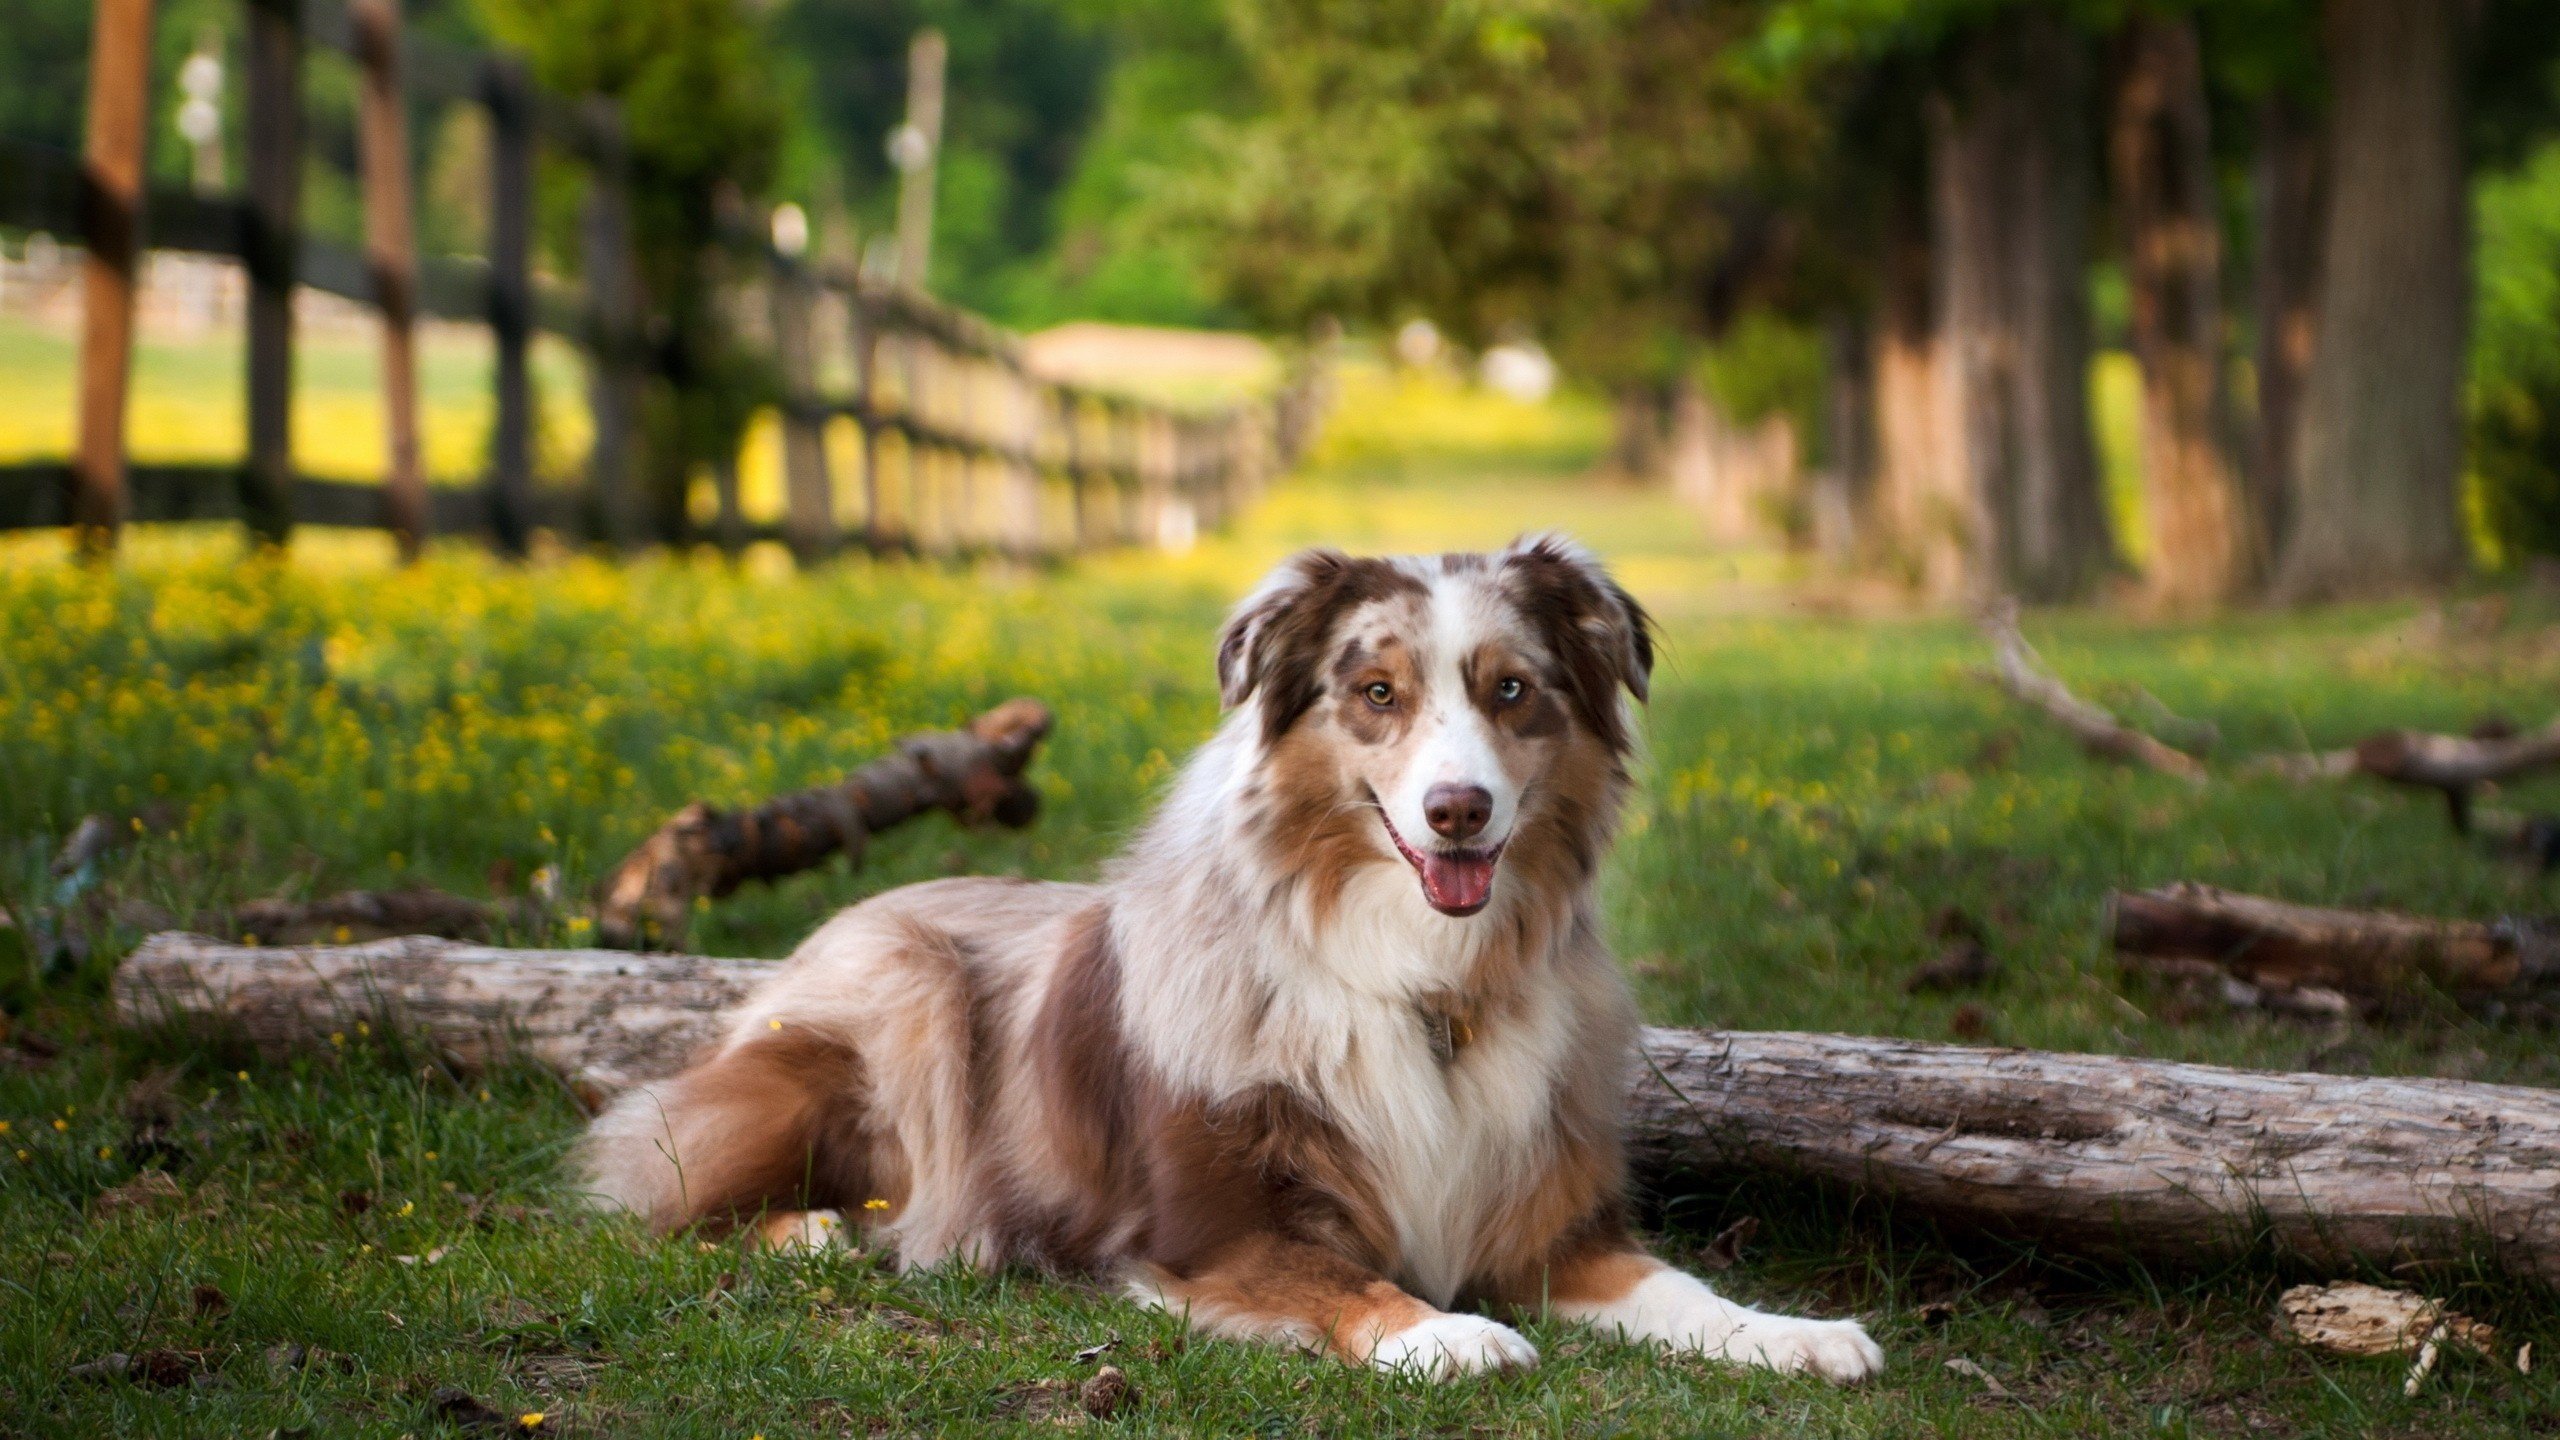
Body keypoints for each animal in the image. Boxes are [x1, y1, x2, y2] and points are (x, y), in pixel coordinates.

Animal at [588, 535, 1894, 1383]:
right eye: (1378, 693)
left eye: (1512, 690)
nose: (1459, 811)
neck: (1421, 982)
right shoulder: (1206, 1236)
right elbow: (1345, 1282)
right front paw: (1446, 1333)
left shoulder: (1545, 1230)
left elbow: (1679, 1288)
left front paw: (1793, 1334)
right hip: (898, 997)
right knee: (642, 1188)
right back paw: (814, 1230)